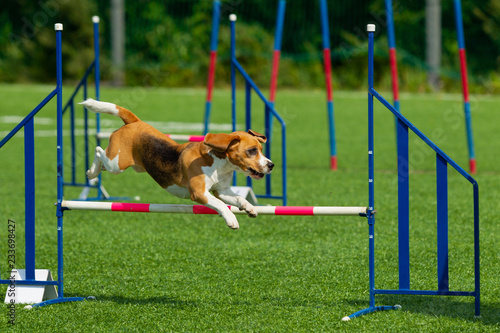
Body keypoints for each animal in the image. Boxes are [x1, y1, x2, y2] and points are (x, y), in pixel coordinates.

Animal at [79, 98, 274, 228]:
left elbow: (239, 197)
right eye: (252, 151)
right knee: (98, 150)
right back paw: (91, 172)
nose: (271, 165)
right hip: (117, 164)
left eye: (261, 149)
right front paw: (231, 218)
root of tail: (134, 122)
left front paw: (249, 207)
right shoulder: (199, 193)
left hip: (122, 165)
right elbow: (220, 205)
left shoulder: (221, 191)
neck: (220, 164)